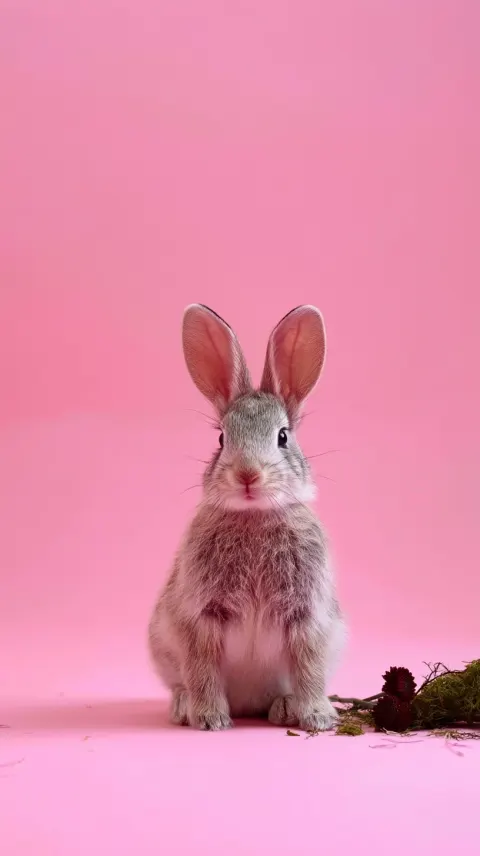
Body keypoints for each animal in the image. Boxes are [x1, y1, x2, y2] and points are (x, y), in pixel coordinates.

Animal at [148, 304, 346, 731]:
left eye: (283, 436)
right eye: (222, 438)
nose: (247, 474)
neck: (255, 515)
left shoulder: (308, 616)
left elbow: (309, 668)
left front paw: (318, 717)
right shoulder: (200, 616)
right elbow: (202, 668)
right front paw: (210, 719)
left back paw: (285, 707)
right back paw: (184, 707)